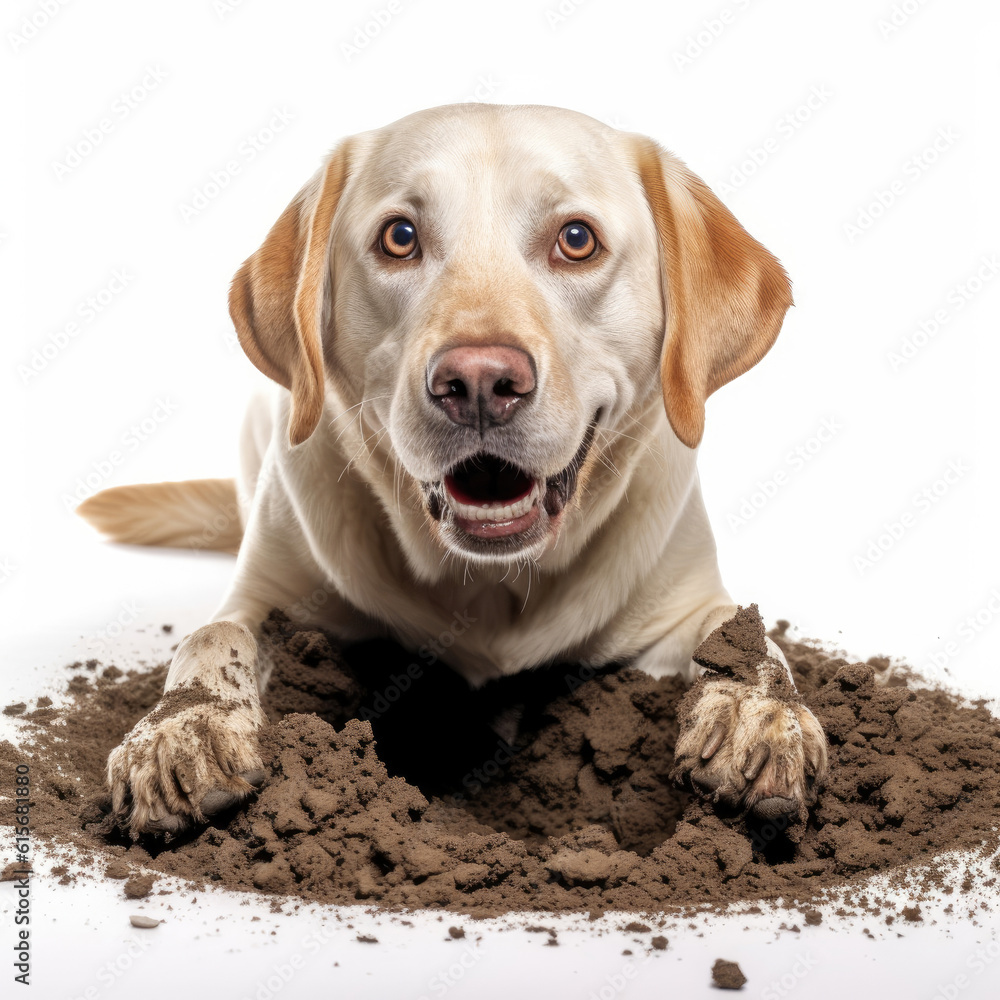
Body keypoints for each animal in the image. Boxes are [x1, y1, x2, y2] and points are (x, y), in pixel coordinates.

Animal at [78, 103, 828, 836]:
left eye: (576, 239)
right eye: (400, 236)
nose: (479, 383)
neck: (491, 585)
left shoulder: (682, 601)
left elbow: (739, 634)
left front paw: (759, 713)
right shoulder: (267, 591)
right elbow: (213, 635)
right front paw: (181, 731)